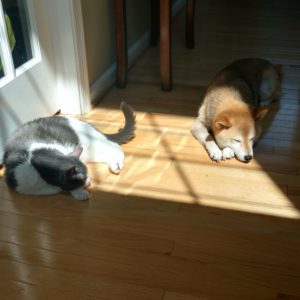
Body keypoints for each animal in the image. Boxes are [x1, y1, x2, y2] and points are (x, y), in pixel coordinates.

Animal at [2, 102, 136, 200]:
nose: (88, 182)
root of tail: (87, 124)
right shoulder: (22, 184)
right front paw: (79, 190)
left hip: (93, 143)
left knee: (114, 146)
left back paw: (117, 165)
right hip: (89, 152)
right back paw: (114, 165)